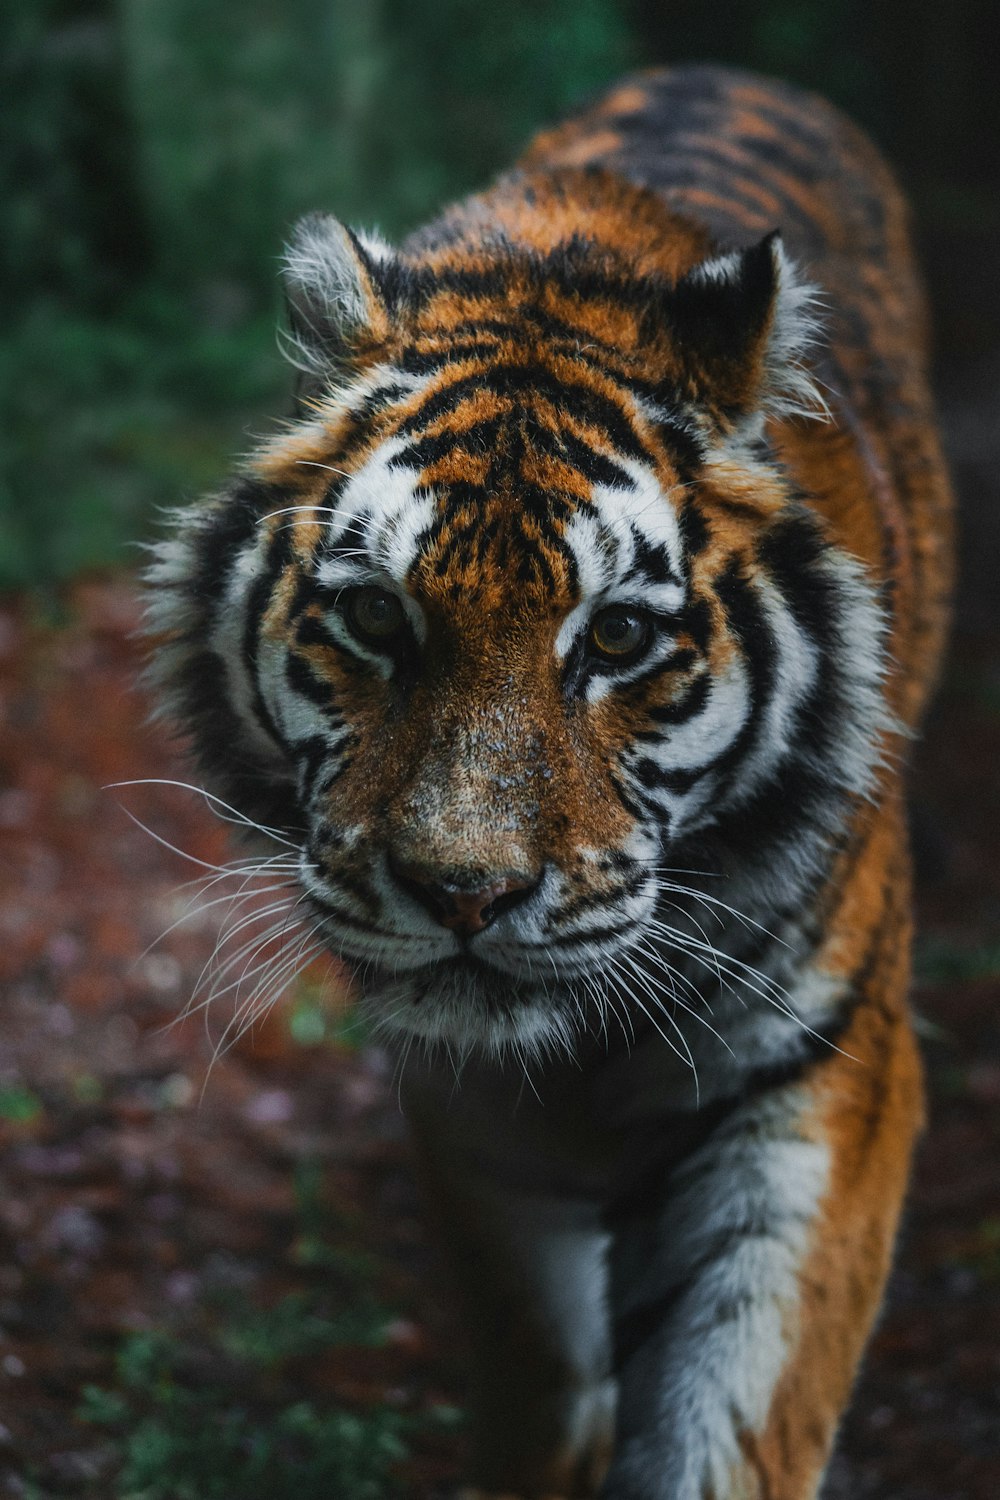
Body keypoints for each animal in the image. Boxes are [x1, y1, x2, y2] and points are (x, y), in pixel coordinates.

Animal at [146, 61, 953, 1500]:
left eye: (618, 639)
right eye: (376, 618)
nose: (463, 895)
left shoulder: (820, 1080)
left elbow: (735, 1414)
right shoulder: (475, 1122)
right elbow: (538, 1371)